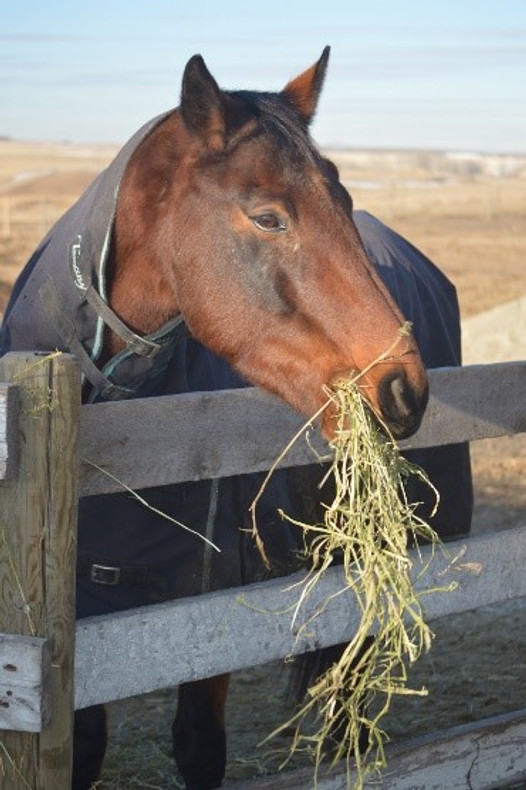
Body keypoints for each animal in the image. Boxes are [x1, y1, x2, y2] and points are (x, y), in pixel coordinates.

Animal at [0, 51, 474, 790]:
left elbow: (199, 744)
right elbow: (85, 748)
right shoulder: (85, 629)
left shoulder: (204, 613)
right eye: (268, 217)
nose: (403, 390)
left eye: (344, 201)